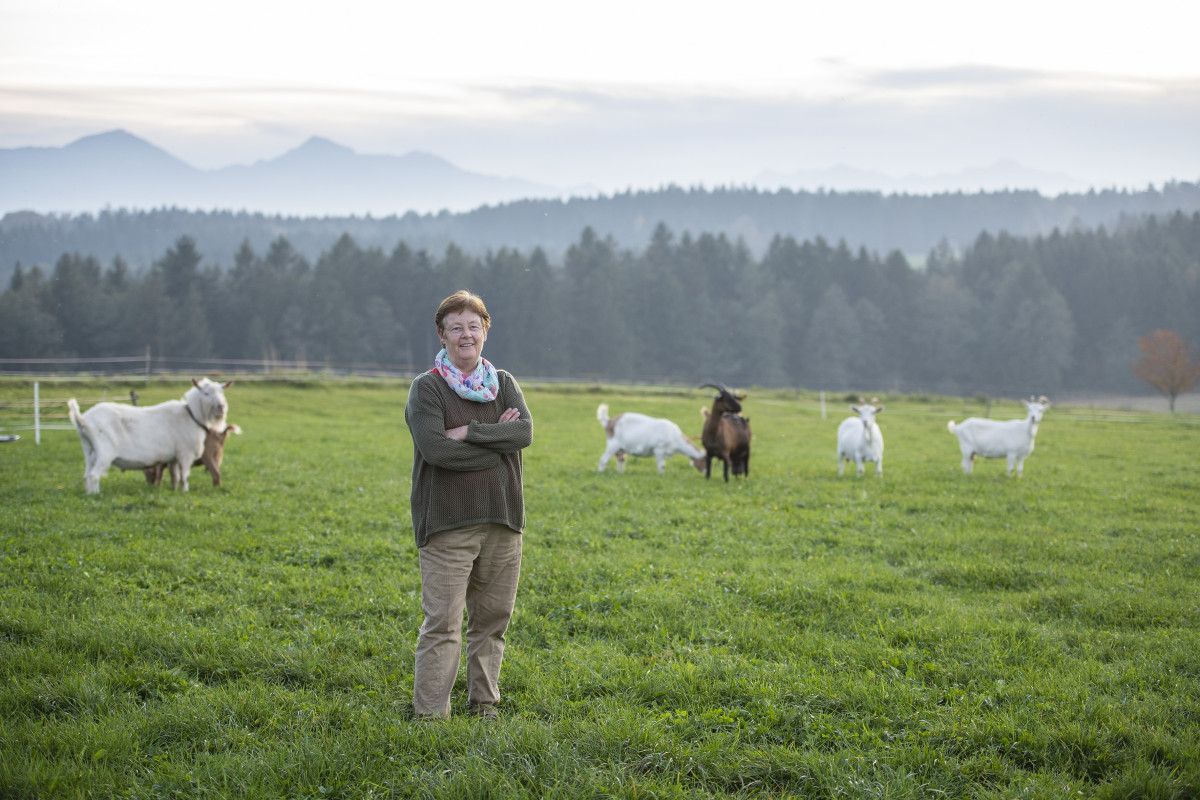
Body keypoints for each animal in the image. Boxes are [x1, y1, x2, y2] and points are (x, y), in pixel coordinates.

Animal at [68, 376, 231, 494]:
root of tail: (83, 420)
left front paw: (175, 492)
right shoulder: (185, 454)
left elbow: (176, 477)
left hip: (90, 451)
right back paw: (96, 495)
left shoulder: (174, 458)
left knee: (86, 476)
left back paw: (89, 493)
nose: (221, 407)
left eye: (222, 392)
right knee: (94, 476)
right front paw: (185, 492)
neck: (191, 415)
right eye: (206, 393)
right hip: (104, 451)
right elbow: (184, 476)